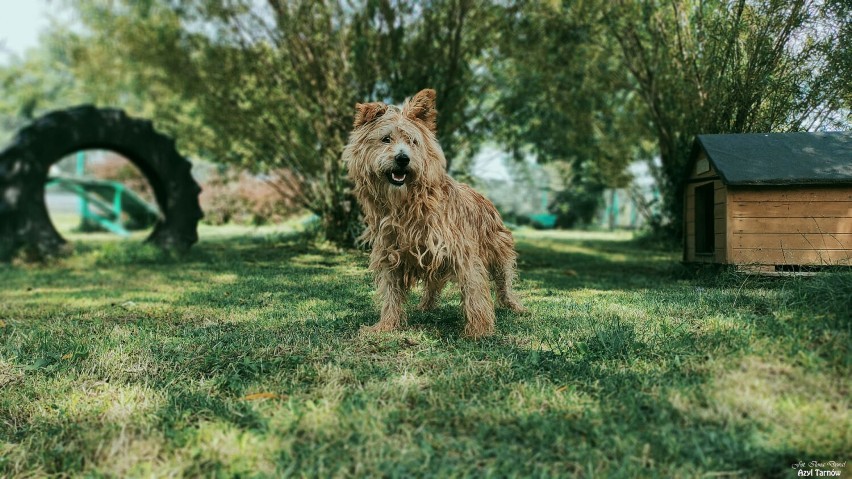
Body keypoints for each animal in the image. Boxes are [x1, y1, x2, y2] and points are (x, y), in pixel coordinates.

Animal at [342, 90, 524, 338]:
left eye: (413, 141)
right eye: (386, 139)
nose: (403, 158)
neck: (408, 204)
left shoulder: (462, 253)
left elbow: (474, 291)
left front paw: (478, 330)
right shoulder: (390, 253)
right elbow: (391, 294)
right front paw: (387, 324)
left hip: (499, 249)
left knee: (504, 280)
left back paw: (513, 305)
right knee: (433, 283)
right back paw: (426, 305)